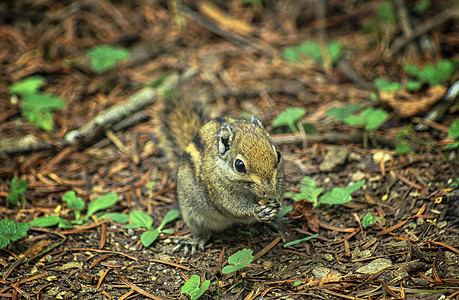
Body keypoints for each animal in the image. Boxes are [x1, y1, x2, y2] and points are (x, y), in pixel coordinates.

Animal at [160, 82, 286, 255]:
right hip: (192, 214)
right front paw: (256, 211)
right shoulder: (218, 191)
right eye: (239, 165)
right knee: (202, 231)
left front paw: (276, 204)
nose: (269, 192)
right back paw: (194, 241)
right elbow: (232, 207)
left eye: (278, 155)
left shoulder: (279, 180)